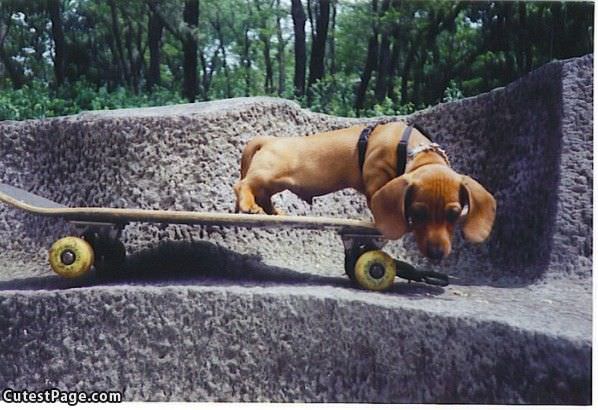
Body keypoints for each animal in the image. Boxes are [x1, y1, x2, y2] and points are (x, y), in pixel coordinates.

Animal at [234, 121, 496, 262]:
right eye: (418, 213)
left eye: (454, 214)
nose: (437, 254)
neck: (412, 149)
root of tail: (268, 139)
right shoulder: (376, 180)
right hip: (268, 174)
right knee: (242, 185)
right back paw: (249, 206)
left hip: (274, 181)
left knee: (263, 195)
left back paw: (272, 212)